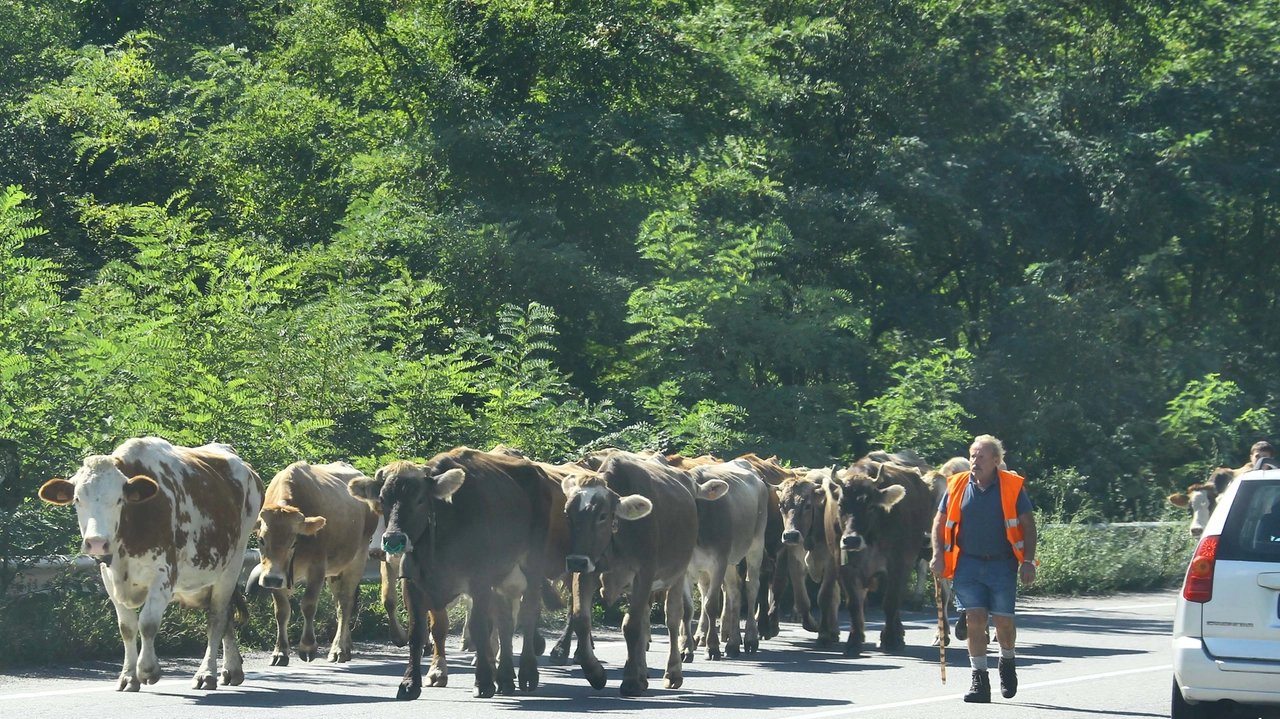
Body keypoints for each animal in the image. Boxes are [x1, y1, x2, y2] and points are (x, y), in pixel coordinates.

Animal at [38, 437, 262, 690]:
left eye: (119, 499)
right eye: (77, 499)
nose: (96, 543)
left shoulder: (164, 574)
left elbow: (148, 623)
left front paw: (147, 670)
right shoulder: (109, 578)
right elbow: (126, 627)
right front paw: (128, 676)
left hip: (233, 562)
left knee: (217, 617)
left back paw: (206, 674)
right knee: (227, 618)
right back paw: (231, 669)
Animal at [249, 460, 378, 665]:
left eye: (294, 542)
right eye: (261, 539)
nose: (271, 579)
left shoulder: (317, 567)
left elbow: (308, 605)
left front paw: (308, 646)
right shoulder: (276, 575)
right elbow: (281, 611)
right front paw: (280, 652)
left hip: (357, 557)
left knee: (345, 604)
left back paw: (338, 649)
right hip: (334, 572)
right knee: (339, 602)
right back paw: (346, 645)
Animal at [348, 447, 552, 695]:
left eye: (419, 500)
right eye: (383, 500)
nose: (394, 540)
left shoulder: (479, 580)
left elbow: (479, 627)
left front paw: (483, 681)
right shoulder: (415, 582)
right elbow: (423, 631)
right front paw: (414, 681)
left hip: (531, 563)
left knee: (528, 612)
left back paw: (527, 672)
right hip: (502, 576)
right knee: (505, 623)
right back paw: (504, 677)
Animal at [563, 450, 732, 690]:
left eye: (602, 515)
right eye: (568, 514)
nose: (576, 561)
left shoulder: (644, 572)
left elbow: (632, 625)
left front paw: (630, 681)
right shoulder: (586, 572)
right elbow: (582, 620)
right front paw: (595, 673)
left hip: (678, 574)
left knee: (673, 618)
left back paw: (672, 672)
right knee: (644, 619)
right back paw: (642, 673)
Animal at [824, 458, 936, 655]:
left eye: (871, 506)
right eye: (841, 505)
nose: (851, 540)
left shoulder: (897, 563)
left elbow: (890, 602)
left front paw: (890, 639)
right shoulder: (844, 566)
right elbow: (854, 603)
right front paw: (854, 641)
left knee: (896, 599)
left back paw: (897, 634)